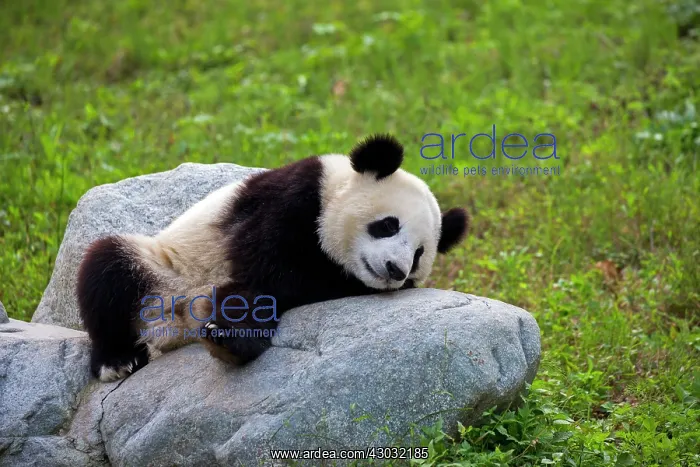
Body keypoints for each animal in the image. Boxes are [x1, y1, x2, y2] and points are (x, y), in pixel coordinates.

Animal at [76, 134, 469, 382]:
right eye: (388, 225)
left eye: (418, 255)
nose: (395, 270)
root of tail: (172, 331)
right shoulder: (289, 199)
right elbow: (272, 266)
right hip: (166, 269)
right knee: (108, 270)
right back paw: (118, 361)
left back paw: (228, 340)